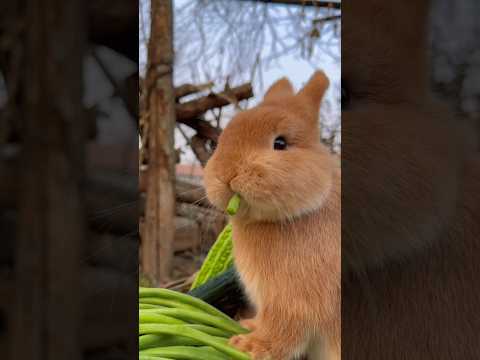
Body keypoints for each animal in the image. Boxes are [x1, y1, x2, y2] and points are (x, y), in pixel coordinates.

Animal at [204, 72, 340, 360]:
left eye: (280, 143)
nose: (226, 173)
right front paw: (248, 326)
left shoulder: (292, 301)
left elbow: (283, 332)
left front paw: (247, 346)